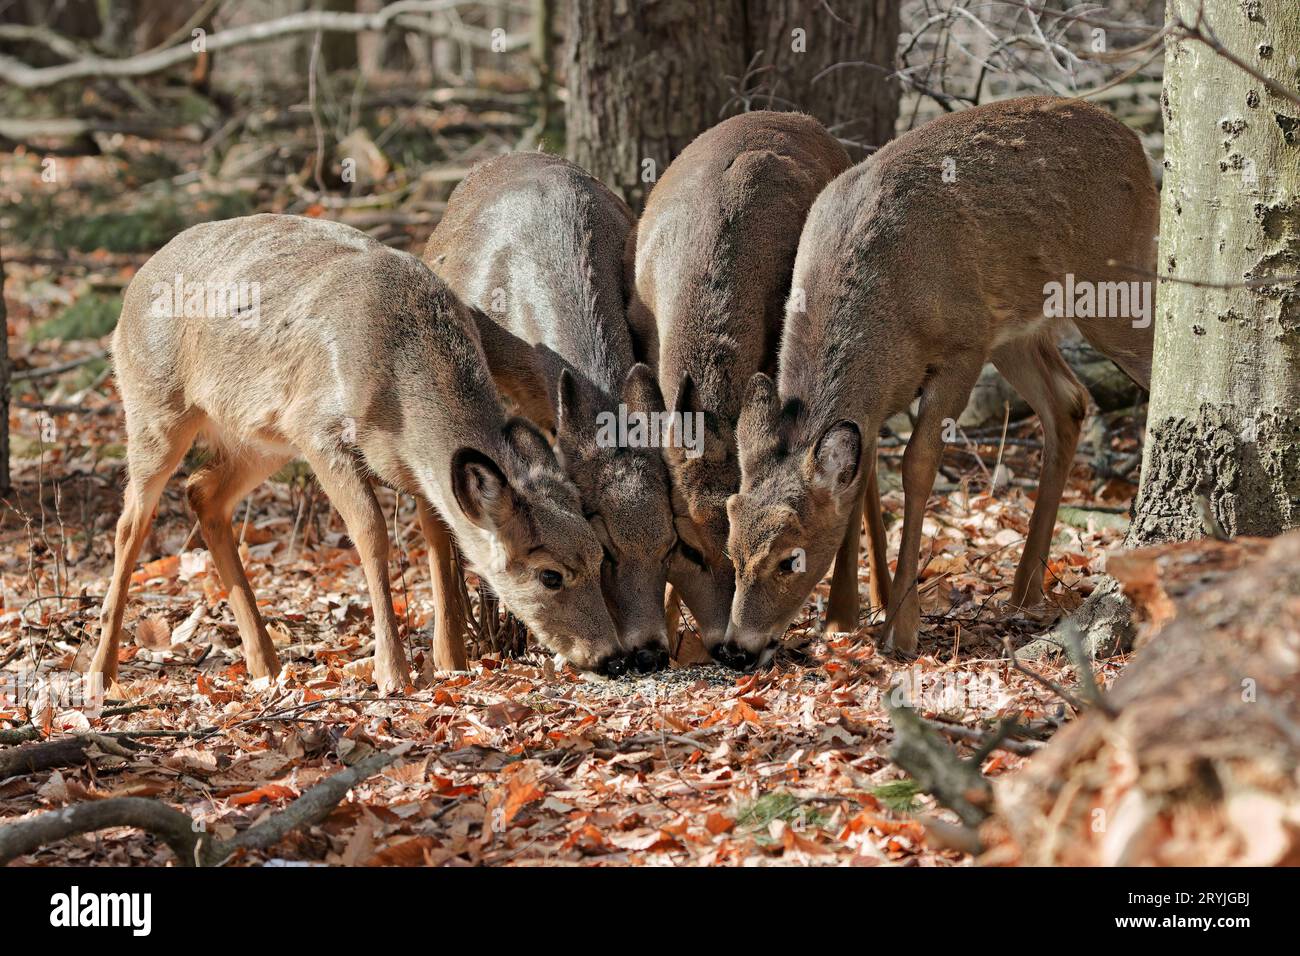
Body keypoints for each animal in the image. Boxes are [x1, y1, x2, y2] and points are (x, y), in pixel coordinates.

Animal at [88, 214, 626, 695]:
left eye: (602, 557)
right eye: (550, 575)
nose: (611, 656)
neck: (400, 382)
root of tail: (135, 284)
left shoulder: (416, 470)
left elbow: (440, 540)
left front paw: (451, 663)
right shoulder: (316, 427)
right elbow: (371, 532)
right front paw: (393, 674)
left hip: (261, 440)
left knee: (203, 492)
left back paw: (265, 664)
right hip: (155, 407)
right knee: (130, 521)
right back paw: (99, 674)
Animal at [726, 96, 1158, 664]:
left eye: (789, 559)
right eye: (731, 552)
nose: (737, 647)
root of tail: (1136, 143)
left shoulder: (961, 349)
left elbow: (917, 466)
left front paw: (902, 625)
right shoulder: (882, 400)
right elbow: (861, 481)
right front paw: (845, 614)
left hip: (1116, 285)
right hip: (1015, 331)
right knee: (1069, 402)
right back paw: (1025, 588)